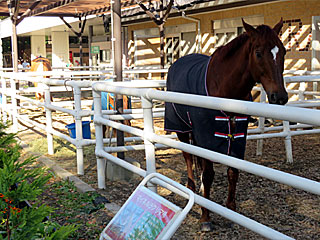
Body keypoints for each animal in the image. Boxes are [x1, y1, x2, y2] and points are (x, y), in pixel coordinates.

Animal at [165, 18, 288, 231]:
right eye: (258, 53)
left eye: (283, 51)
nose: (279, 96)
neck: (224, 90)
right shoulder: (206, 137)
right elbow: (208, 174)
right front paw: (205, 217)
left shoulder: (237, 137)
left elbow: (233, 172)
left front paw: (231, 210)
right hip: (181, 128)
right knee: (188, 157)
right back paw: (191, 188)